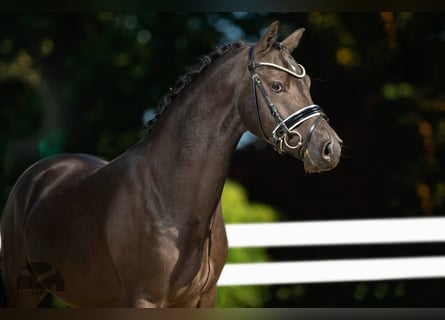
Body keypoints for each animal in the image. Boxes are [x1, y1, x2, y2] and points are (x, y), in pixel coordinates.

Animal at [0, 22, 342, 308]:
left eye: (307, 83)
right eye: (276, 86)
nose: (330, 148)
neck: (171, 197)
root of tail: (37, 174)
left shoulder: (202, 301)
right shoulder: (144, 300)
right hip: (23, 295)